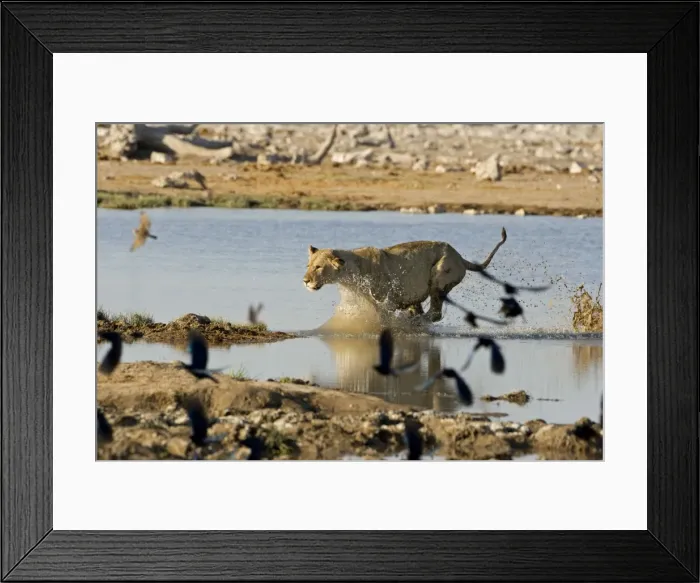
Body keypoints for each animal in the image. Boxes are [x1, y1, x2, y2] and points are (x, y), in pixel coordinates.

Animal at [302, 227, 507, 322]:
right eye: (308, 266)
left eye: (318, 267)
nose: (305, 281)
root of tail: (460, 257)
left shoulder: (388, 300)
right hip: (415, 292)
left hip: (439, 275)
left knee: (435, 313)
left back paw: (414, 322)